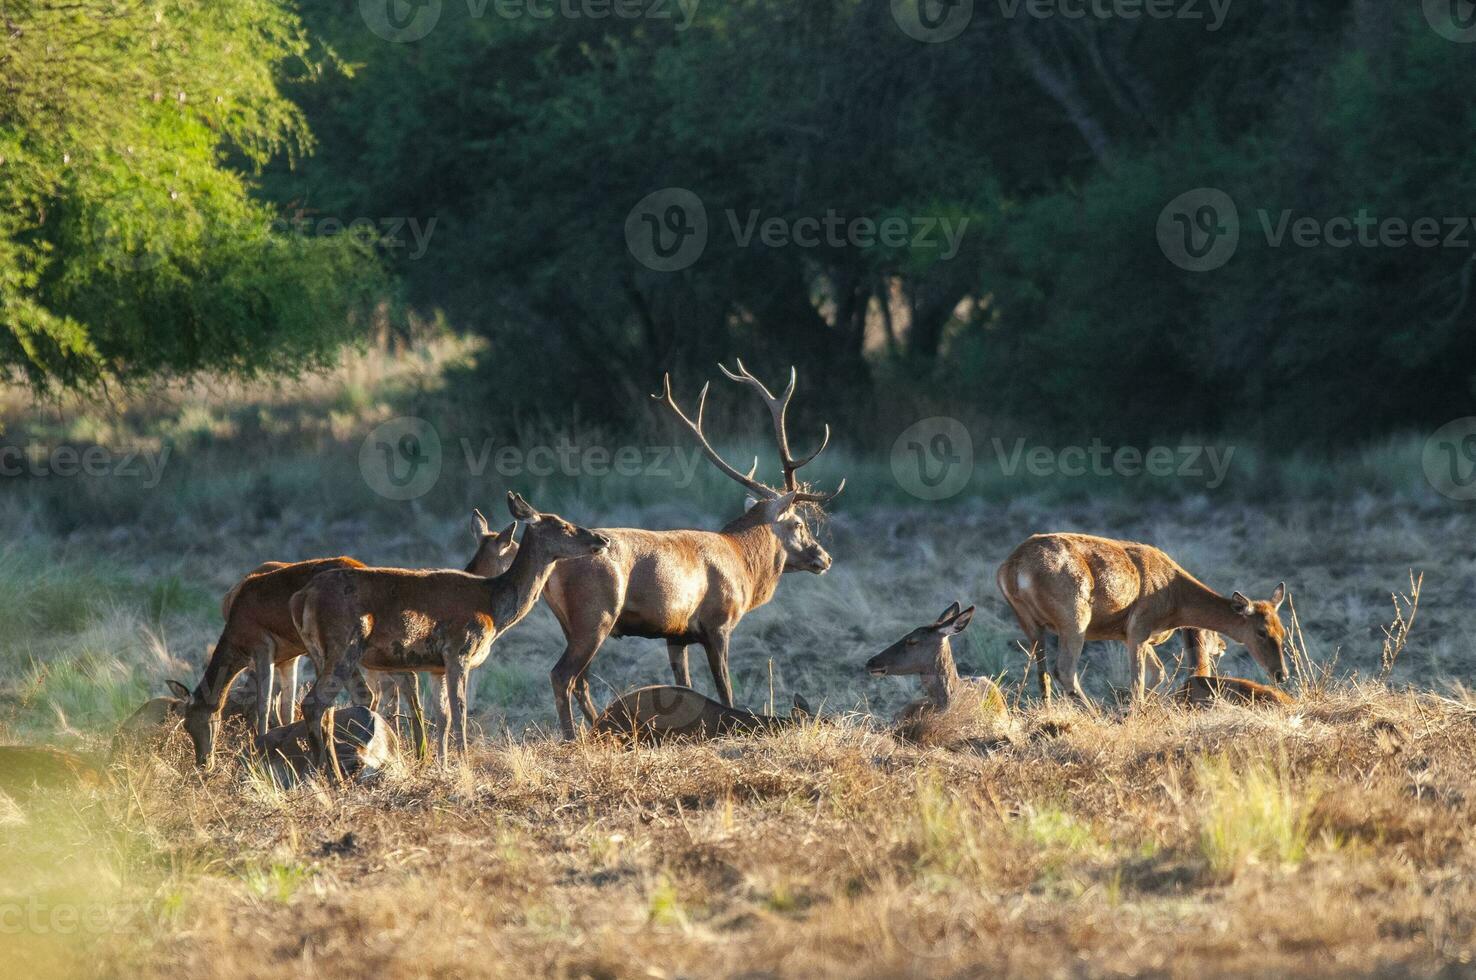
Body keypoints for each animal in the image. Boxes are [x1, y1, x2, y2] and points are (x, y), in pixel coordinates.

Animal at [296, 492, 608, 761]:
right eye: (564, 525)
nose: (602, 538)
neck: (493, 606)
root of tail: (303, 595)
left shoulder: (437, 666)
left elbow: (443, 716)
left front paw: (443, 763)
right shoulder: (459, 649)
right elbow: (460, 712)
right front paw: (464, 761)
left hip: (320, 651)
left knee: (328, 710)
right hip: (344, 643)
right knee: (314, 704)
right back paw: (328, 775)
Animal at [543, 358, 844, 735]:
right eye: (798, 523)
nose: (825, 557)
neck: (743, 563)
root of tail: (554, 567)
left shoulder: (676, 634)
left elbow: (684, 685)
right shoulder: (718, 622)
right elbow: (725, 690)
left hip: (570, 623)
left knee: (580, 681)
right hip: (596, 615)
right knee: (562, 676)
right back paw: (573, 737)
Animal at [991, 537, 1292, 705]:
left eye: (1283, 631)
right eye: (1261, 631)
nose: (1282, 674)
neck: (1174, 595)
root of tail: (1012, 568)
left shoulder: (1133, 635)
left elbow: (1157, 673)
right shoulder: (1138, 629)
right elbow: (1137, 682)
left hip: (1032, 626)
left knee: (1042, 674)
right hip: (1074, 622)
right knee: (1064, 670)